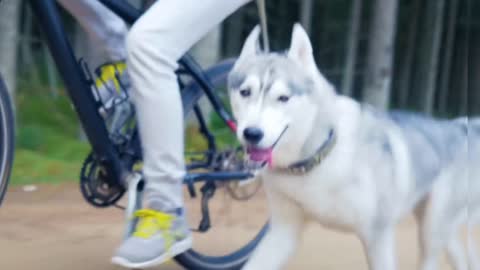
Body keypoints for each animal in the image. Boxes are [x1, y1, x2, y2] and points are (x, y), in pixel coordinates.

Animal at [229, 23, 476, 270]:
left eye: (283, 97)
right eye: (245, 92)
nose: (251, 133)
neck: (319, 158)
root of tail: (457, 125)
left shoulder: (378, 238)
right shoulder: (283, 232)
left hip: (430, 233)